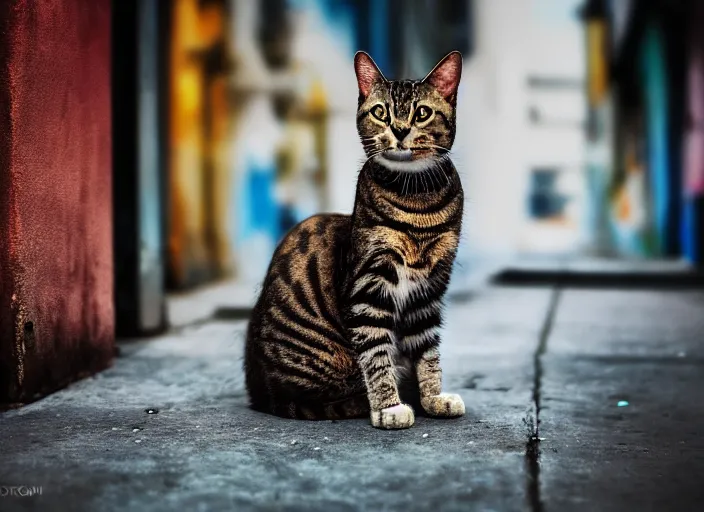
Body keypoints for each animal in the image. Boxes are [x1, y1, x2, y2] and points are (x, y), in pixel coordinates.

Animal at [245, 51, 464, 428]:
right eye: (380, 112)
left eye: (422, 113)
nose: (400, 129)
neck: (418, 201)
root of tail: (262, 391)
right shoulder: (370, 284)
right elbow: (376, 353)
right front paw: (389, 407)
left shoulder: (430, 287)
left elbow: (427, 349)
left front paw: (433, 397)